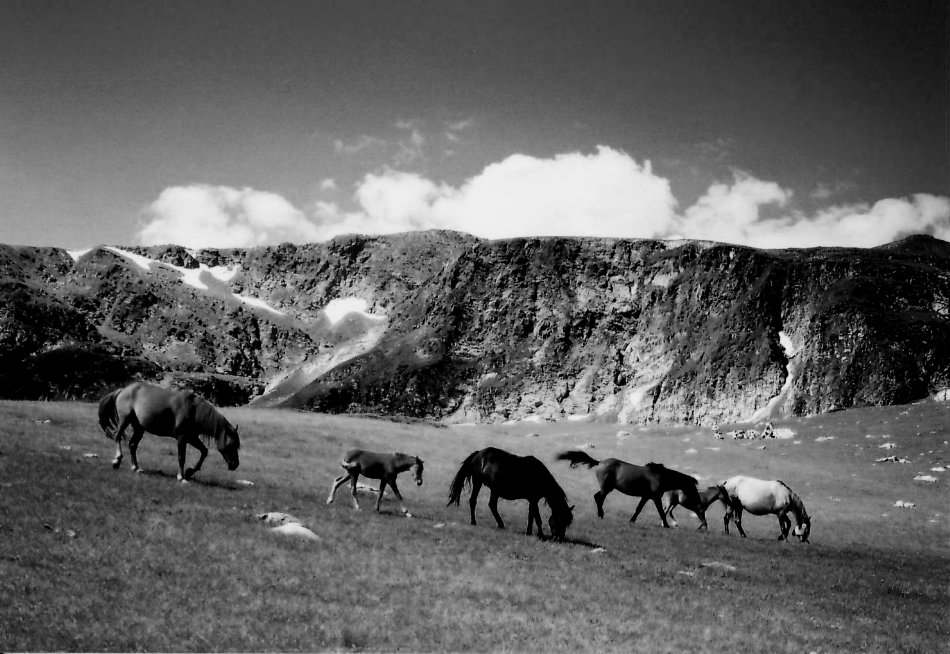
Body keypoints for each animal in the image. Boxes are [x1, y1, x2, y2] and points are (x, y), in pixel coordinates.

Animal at [98, 382, 240, 482]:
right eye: (231, 445)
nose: (235, 465)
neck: (193, 411)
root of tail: (123, 390)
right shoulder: (182, 438)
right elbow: (181, 457)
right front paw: (181, 476)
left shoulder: (192, 437)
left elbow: (204, 451)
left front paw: (189, 471)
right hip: (125, 420)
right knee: (118, 437)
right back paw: (116, 461)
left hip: (139, 428)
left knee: (132, 445)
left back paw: (136, 468)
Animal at [556, 450, 704, 528]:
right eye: (693, 490)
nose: (699, 503)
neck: (660, 476)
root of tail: (599, 462)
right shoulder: (655, 497)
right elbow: (661, 512)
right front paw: (667, 525)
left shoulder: (646, 496)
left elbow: (638, 509)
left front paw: (632, 520)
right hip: (607, 488)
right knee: (598, 497)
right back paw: (601, 514)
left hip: (608, 488)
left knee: (598, 497)